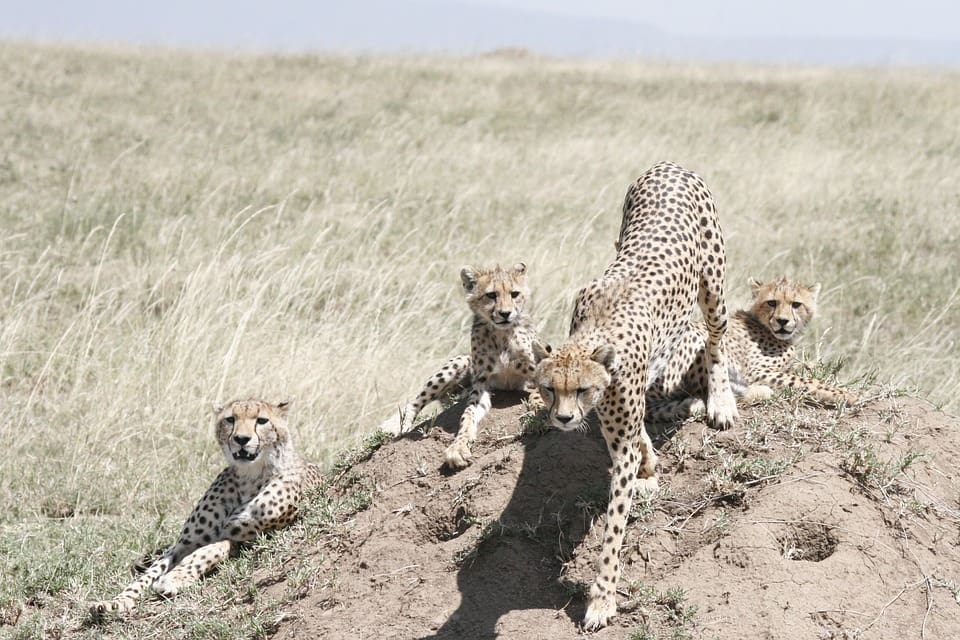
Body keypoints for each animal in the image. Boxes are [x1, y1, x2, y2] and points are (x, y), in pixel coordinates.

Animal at [90, 398, 322, 616]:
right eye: (230, 419)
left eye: (262, 420)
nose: (241, 439)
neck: (249, 476)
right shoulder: (183, 543)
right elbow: (147, 574)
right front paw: (117, 601)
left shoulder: (249, 539)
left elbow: (208, 551)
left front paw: (173, 579)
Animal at [380, 263, 545, 469]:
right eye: (491, 295)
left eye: (514, 294)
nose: (505, 313)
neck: (500, 334)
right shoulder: (481, 384)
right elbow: (467, 415)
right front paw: (458, 448)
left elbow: (540, 390)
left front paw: (539, 406)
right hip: (460, 362)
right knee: (418, 400)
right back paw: (395, 424)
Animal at [532, 161, 738, 630]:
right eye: (549, 388)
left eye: (582, 389)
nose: (564, 419)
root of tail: (668, 164)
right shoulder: (615, 425)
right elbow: (634, 436)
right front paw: (649, 462)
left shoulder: (618, 430)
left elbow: (613, 525)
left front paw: (602, 599)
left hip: (713, 285)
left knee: (716, 337)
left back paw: (719, 400)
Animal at [646, 276, 856, 421]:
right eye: (772, 302)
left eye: (796, 304)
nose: (782, 321)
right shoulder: (756, 371)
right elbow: (806, 381)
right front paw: (844, 395)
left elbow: (804, 368)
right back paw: (760, 392)